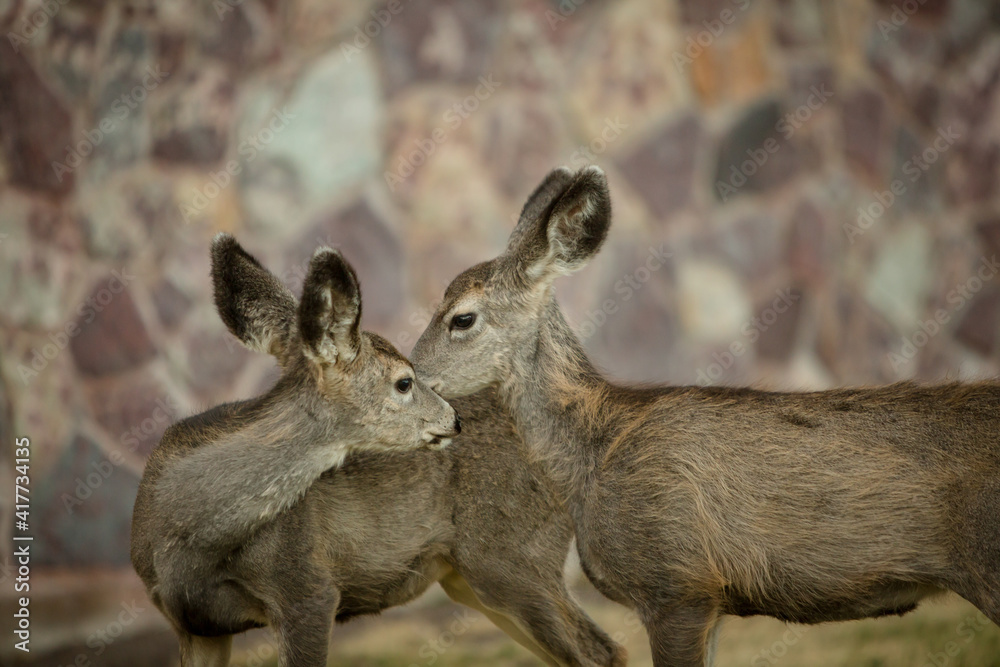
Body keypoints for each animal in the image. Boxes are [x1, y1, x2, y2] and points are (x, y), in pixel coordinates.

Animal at [129, 234, 620, 667]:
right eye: (404, 382)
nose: (452, 418)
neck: (187, 539)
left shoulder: (307, 589)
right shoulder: (192, 625)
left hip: (511, 554)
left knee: (601, 651)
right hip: (469, 576)